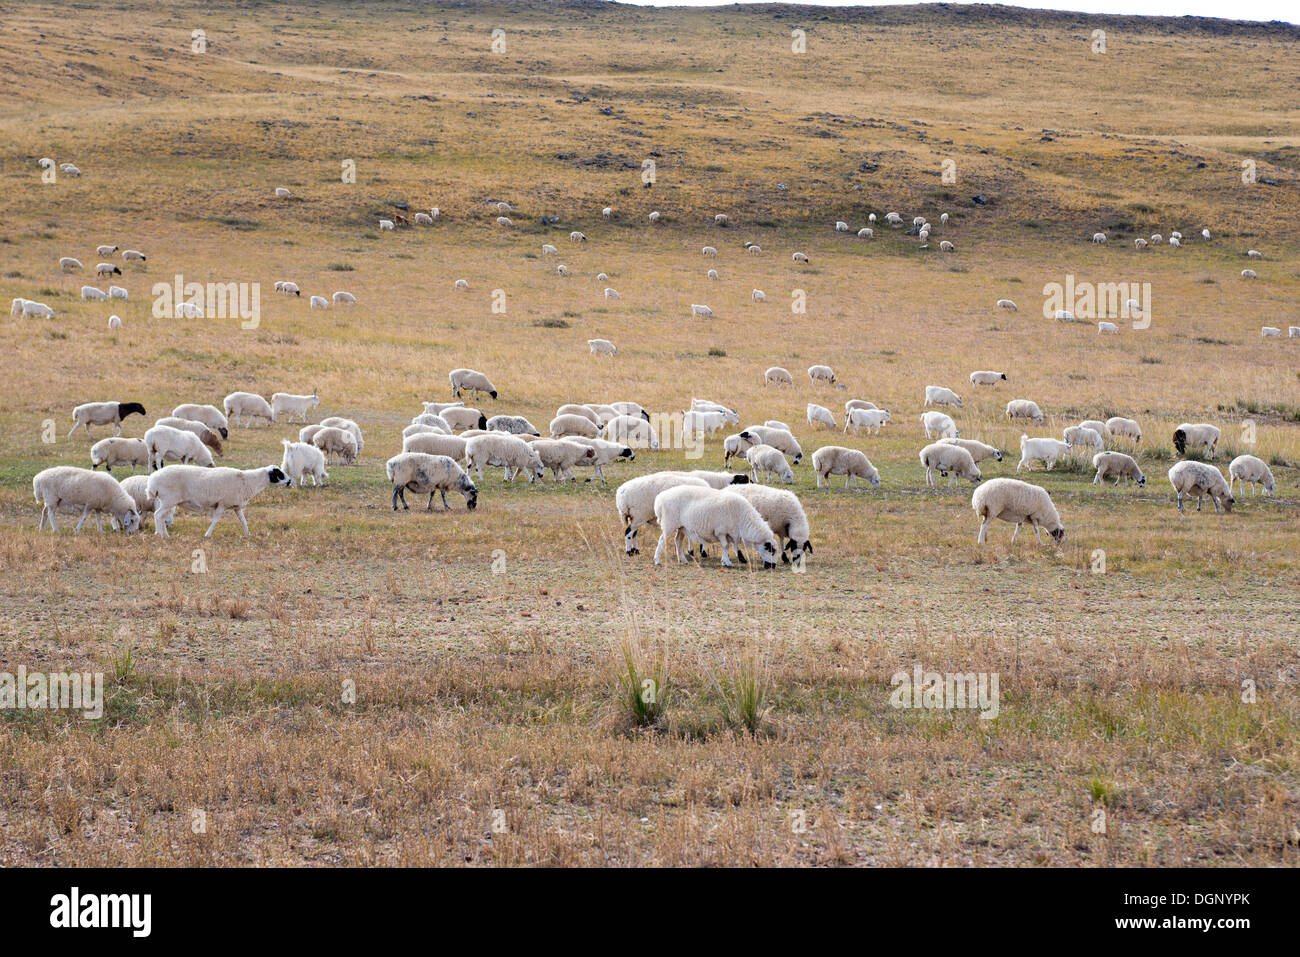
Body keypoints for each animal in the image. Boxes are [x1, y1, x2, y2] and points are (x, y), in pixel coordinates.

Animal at [147, 464, 290, 536]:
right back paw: (160, 535)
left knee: (161, 516)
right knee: (158, 515)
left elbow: (243, 520)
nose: (289, 481)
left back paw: (165, 534)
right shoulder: (222, 504)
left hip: (167, 501)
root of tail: (152, 481)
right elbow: (216, 520)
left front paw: (249, 534)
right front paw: (207, 534)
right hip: (168, 500)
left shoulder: (236, 506)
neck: (249, 480)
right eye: (278, 473)